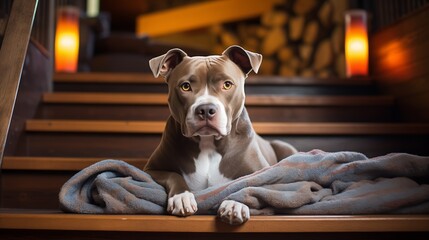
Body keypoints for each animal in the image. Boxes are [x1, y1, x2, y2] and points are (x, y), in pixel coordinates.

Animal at [145, 45, 296, 225]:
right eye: (185, 86)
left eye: (227, 84)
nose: (205, 109)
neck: (208, 143)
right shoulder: (151, 170)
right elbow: (173, 175)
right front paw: (182, 197)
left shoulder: (269, 173)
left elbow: (250, 183)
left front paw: (234, 204)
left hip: (285, 147)